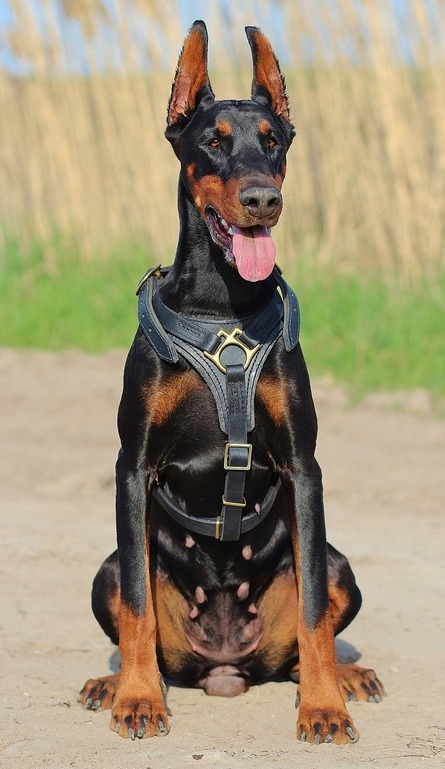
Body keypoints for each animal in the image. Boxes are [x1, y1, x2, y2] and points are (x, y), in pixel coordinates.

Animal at [79, 22, 382, 744]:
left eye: (272, 141)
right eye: (213, 141)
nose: (261, 199)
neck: (222, 306)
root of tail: (223, 667)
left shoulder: (304, 467)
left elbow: (312, 610)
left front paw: (324, 708)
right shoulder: (132, 465)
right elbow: (137, 603)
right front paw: (138, 699)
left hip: (340, 568)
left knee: (308, 631)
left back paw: (345, 678)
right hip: (105, 572)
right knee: (132, 612)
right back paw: (113, 683)